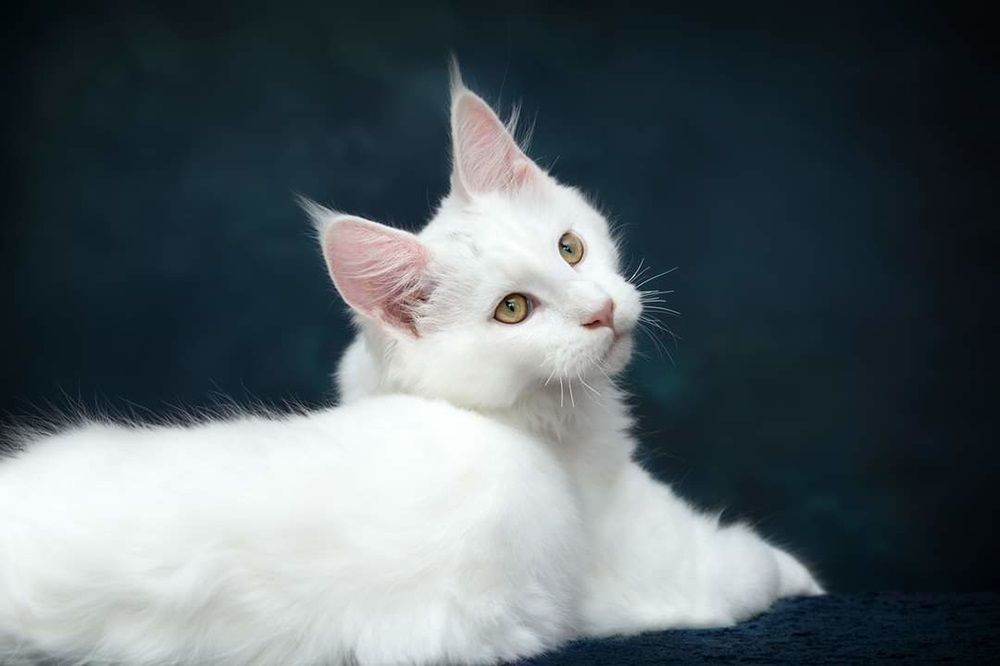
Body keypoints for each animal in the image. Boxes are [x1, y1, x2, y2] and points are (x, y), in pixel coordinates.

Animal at [0, 63, 820, 664]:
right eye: (513, 310)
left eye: (571, 248)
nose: (602, 310)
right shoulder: (654, 561)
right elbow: (764, 566)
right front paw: (805, 583)